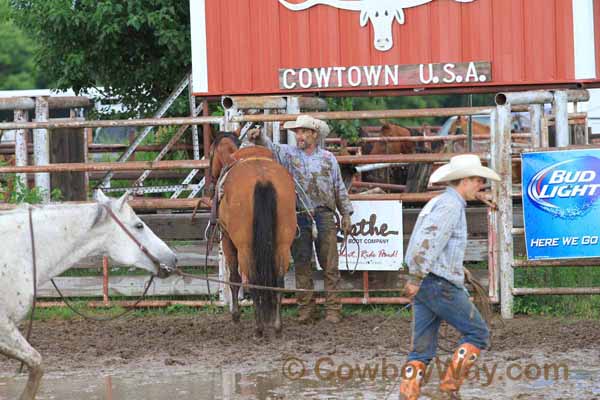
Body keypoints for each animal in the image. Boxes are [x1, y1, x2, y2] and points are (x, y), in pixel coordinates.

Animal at [209, 133, 298, 336]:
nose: (209, 179)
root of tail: (262, 179)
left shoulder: (227, 239)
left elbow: (234, 278)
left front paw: (235, 316)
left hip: (244, 247)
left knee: (252, 280)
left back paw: (259, 328)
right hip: (282, 245)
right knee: (278, 281)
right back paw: (277, 325)